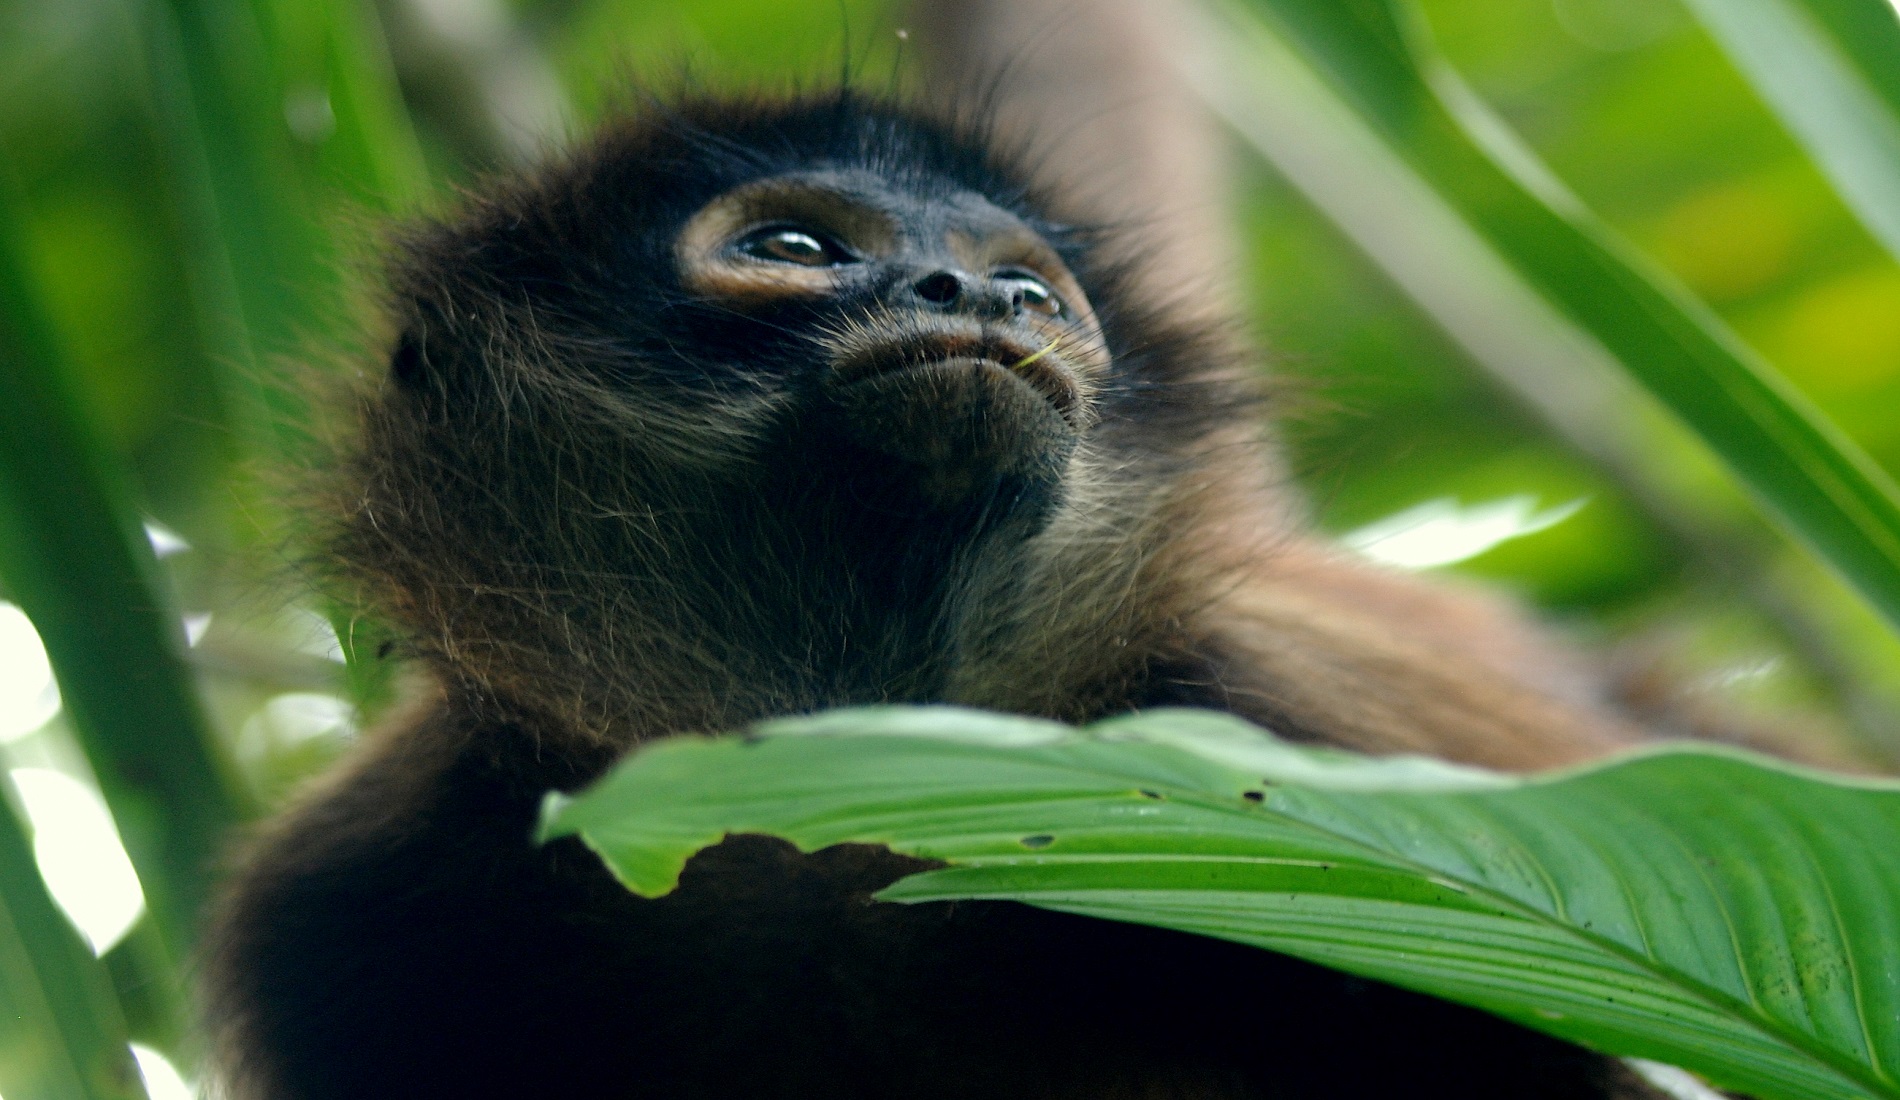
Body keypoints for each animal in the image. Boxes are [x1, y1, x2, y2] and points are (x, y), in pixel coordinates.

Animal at [200, 92, 1687, 1100]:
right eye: (796, 245)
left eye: (1031, 285)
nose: (975, 290)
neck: (837, 814)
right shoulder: (352, 907)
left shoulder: (1293, 736)